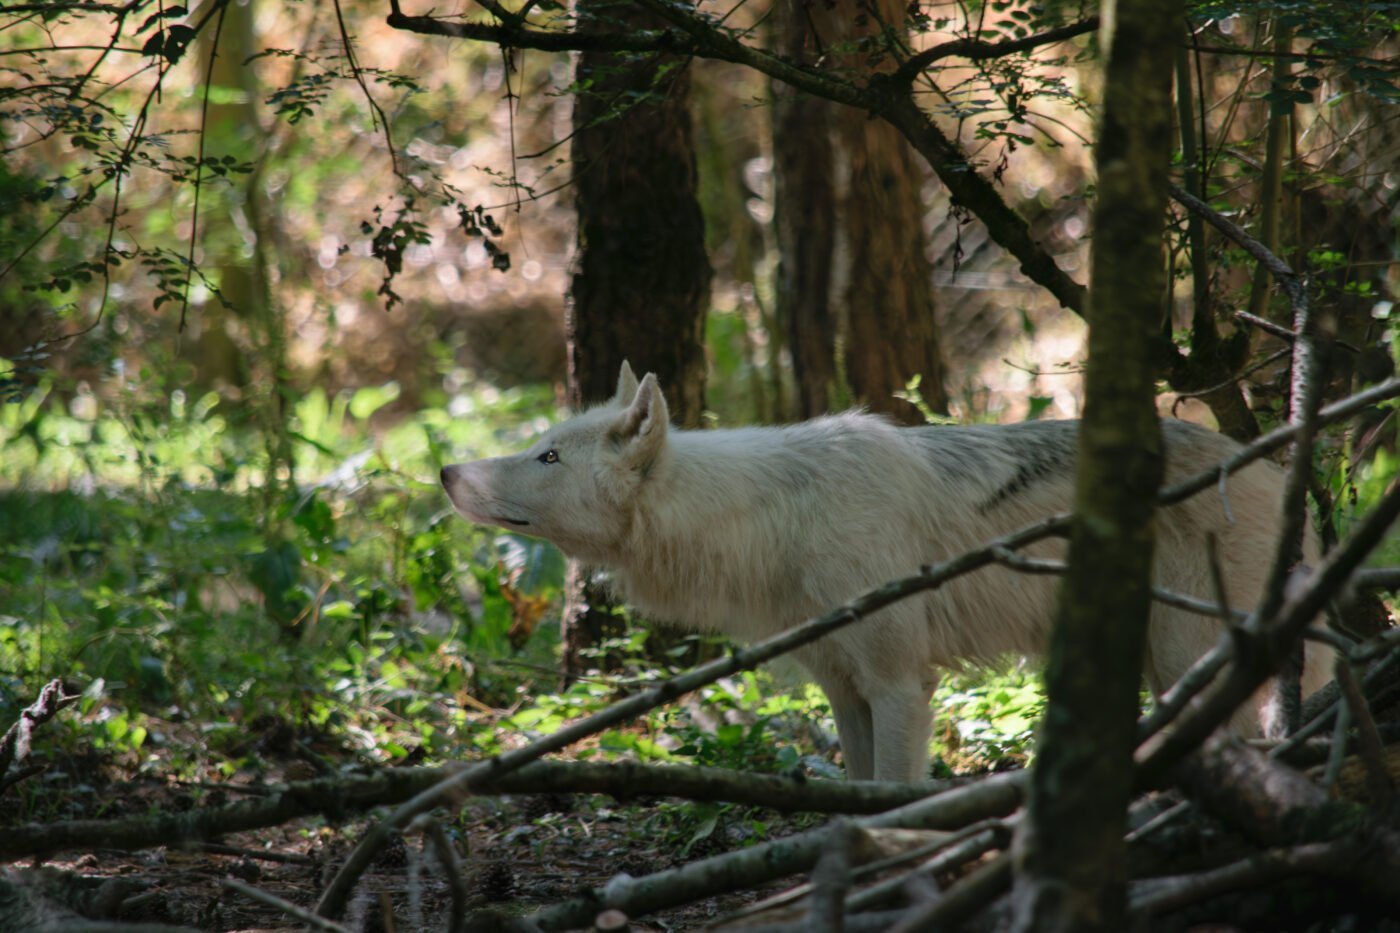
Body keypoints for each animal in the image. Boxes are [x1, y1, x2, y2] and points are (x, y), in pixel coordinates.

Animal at [441, 363, 1327, 782]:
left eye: (548, 456)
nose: (447, 469)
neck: (774, 518)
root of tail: (1271, 466)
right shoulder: (845, 688)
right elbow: (854, 790)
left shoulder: (901, 682)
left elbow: (893, 790)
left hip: (1181, 656)